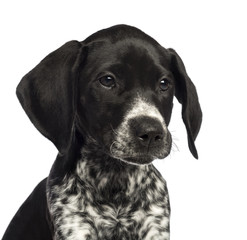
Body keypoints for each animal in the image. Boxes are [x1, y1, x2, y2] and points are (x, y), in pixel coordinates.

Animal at [1, 24, 202, 240]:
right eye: (107, 80)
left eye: (164, 83)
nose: (151, 133)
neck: (115, 181)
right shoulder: (74, 226)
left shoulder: (155, 226)